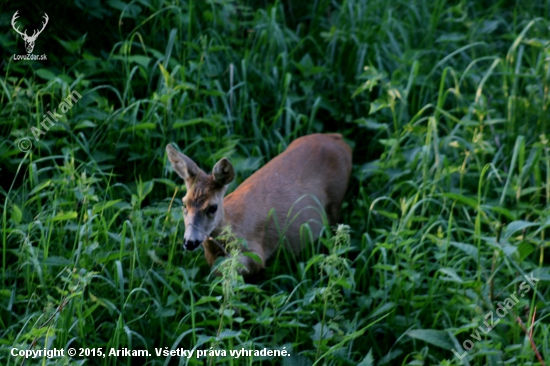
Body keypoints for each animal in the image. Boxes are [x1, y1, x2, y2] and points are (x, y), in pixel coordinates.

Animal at [165, 133, 354, 276]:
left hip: (336, 201)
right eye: (184, 203)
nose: (190, 242)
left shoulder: (255, 254)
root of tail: (339, 139)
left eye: (213, 207)